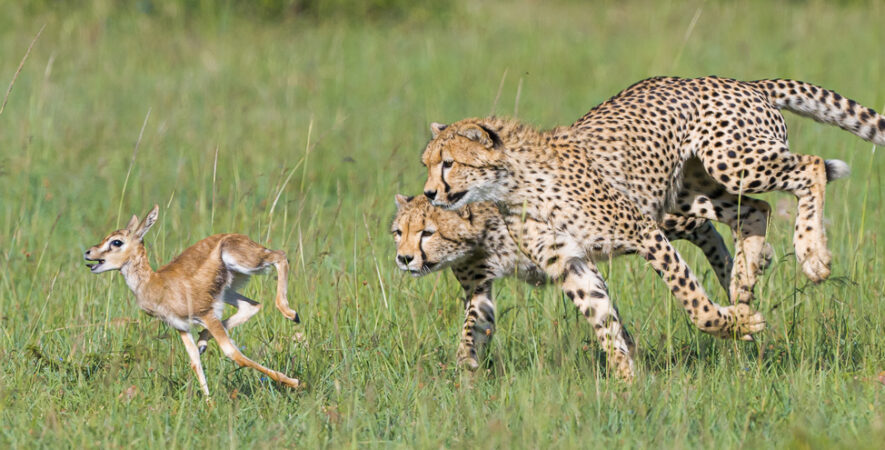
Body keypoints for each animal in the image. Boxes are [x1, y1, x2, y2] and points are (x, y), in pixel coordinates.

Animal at [418, 76, 880, 380]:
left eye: (449, 163)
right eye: (427, 163)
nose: (429, 193)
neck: (513, 185)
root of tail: (740, 81)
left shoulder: (643, 231)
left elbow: (693, 303)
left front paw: (730, 324)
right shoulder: (572, 263)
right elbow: (602, 318)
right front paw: (628, 382)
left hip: (732, 164)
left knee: (811, 167)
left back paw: (811, 255)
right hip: (692, 190)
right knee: (755, 211)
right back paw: (743, 283)